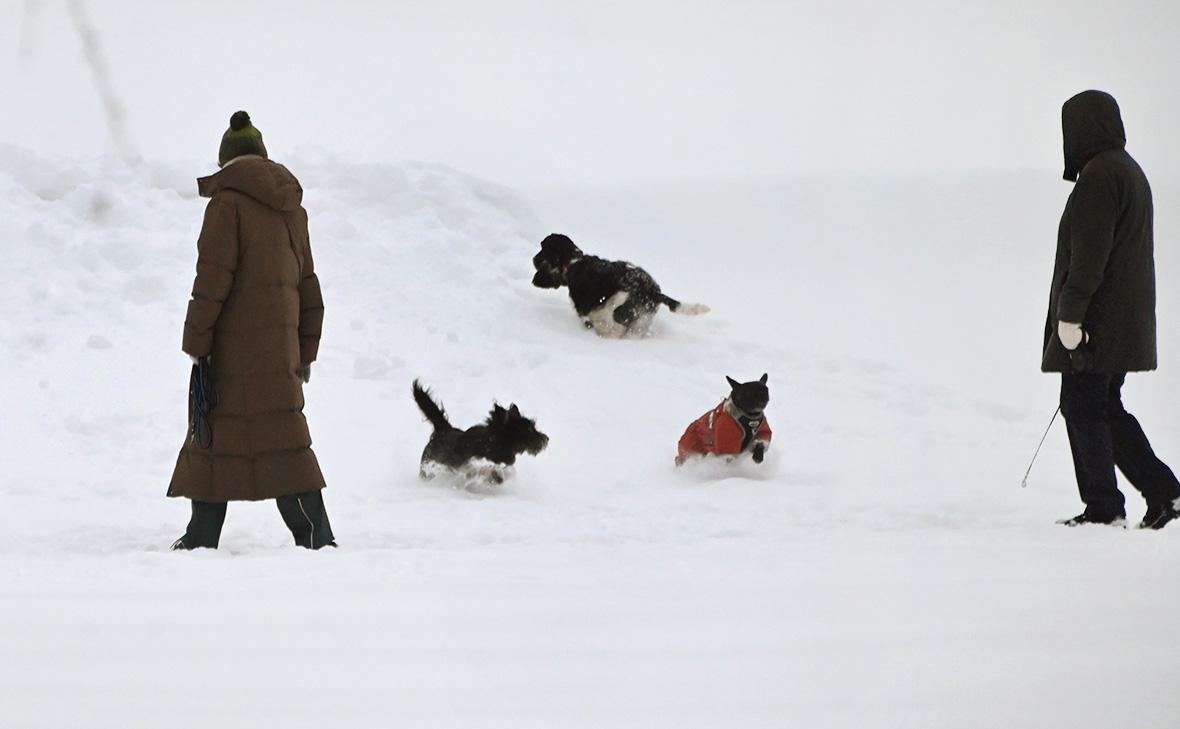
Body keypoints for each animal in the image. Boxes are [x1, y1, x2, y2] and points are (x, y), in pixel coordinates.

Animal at [412, 377, 549, 486]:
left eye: (533, 425)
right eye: (529, 429)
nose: (546, 438)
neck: (494, 442)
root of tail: (443, 429)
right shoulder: (469, 462)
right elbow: (481, 467)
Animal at [535, 231, 707, 339]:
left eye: (543, 250)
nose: (533, 259)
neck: (573, 262)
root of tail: (653, 291)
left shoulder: (585, 311)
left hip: (619, 309)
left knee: (617, 330)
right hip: (643, 318)